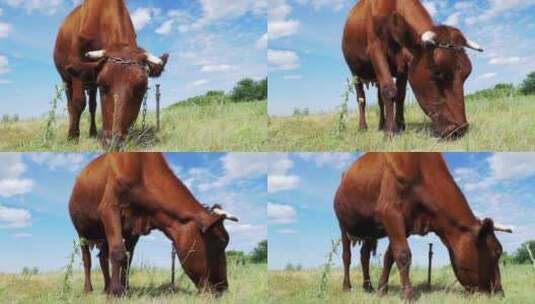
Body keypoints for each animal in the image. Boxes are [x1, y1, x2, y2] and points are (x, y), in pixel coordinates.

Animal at [53, 0, 169, 145]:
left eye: (141, 89)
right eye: (103, 86)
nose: (114, 140)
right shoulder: (76, 70)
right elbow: (78, 103)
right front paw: (73, 136)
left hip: (91, 83)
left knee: (92, 106)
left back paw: (93, 132)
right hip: (66, 79)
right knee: (71, 104)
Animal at [69, 153, 239, 296]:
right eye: (221, 242)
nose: (224, 288)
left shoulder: (134, 228)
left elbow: (128, 259)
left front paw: (125, 288)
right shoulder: (109, 208)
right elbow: (118, 252)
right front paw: (116, 292)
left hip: (104, 234)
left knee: (103, 258)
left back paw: (106, 287)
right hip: (81, 232)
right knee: (87, 260)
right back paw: (89, 289)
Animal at [336, 153, 516, 298]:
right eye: (495, 252)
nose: (500, 293)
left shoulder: (406, 224)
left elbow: (390, 256)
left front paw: (382, 289)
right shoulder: (389, 212)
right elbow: (403, 254)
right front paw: (408, 294)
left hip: (368, 230)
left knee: (364, 255)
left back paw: (368, 287)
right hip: (343, 225)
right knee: (346, 256)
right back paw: (346, 287)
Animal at [344, 0, 486, 138]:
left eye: (467, 73)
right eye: (437, 73)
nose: (461, 129)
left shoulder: (404, 65)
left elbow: (400, 95)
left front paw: (400, 126)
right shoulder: (375, 49)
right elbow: (389, 90)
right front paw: (390, 131)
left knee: (380, 99)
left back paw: (381, 125)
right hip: (354, 73)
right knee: (361, 99)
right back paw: (363, 127)